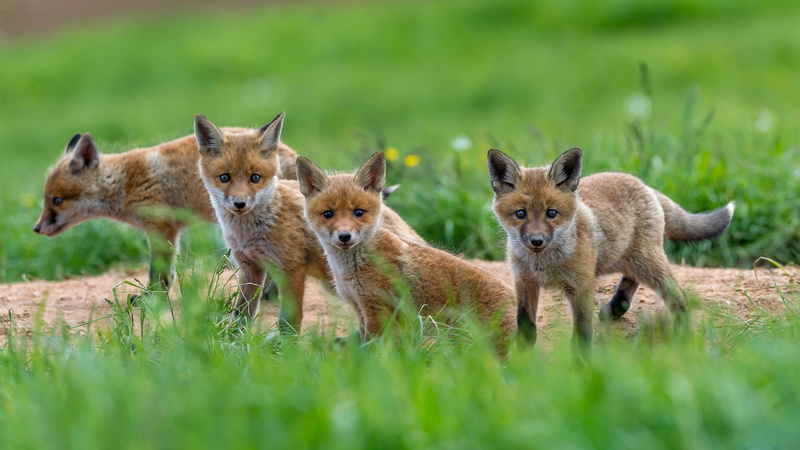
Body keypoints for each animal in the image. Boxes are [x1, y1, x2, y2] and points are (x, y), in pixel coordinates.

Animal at [34, 128, 299, 296]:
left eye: (56, 200)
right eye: (47, 199)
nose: (36, 228)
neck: (126, 183)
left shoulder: (161, 227)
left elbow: (158, 274)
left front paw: (151, 300)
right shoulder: (169, 230)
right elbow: (166, 274)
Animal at [193, 113, 420, 331]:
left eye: (255, 178)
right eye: (224, 178)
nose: (240, 204)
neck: (250, 233)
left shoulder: (291, 269)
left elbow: (288, 321)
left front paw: (286, 344)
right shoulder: (250, 267)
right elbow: (241, 314)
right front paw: (236, 338)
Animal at [296, 151, 517, 352]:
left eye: (358, 212)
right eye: (328, 214)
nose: (344, 236)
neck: (350, 269)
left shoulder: (376, 308)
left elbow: (374, 348)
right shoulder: (359, 308)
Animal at [488, 147, 734, 360]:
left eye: (551, 213)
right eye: (520, 214)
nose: (536, 241)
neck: (542, 263)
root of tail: (644, 185)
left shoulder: (581, 287)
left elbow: (582, 333)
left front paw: (580, 365)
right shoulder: (524, 282)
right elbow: (526, 326)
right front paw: (522, 359)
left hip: (646, 262)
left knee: (678, 295)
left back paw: (681, 336)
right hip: (625, 260)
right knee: (632, 279)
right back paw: (616, 308)